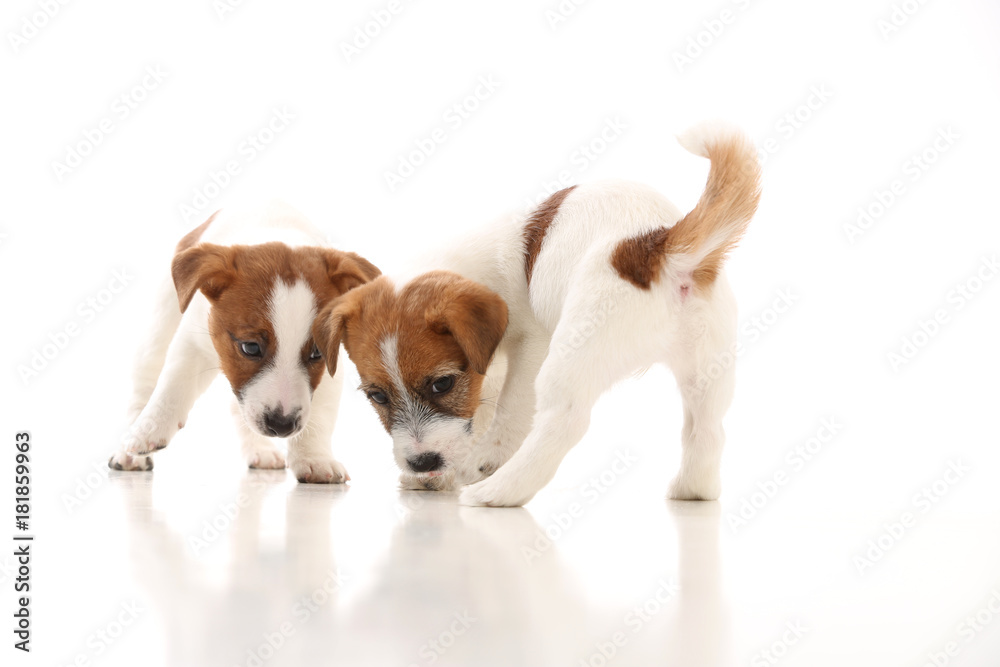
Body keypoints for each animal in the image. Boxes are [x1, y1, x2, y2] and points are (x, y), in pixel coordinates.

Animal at [106, 201, 378, 482]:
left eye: (316, 354)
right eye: (251, 347)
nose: (281, 426)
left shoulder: (331, 363)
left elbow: (321, 415)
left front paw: (315, 459)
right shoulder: (192, 342)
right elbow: (173, 387)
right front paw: (151, 430)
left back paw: (260, 449)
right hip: (159, 332)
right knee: (144, 386)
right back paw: (130, 450)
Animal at [316, 124, 760, 506]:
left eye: (442, 384)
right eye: (377, 396)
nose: (423, 464)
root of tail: (656, 249)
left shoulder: (531, 344)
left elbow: (508, 408)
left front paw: (480, 461)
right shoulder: (487, 367)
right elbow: (481, 408)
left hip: (573, 351)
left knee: (564, 421)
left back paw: (498, 491)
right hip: (708, 368)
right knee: (707, 428)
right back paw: (692, 489)